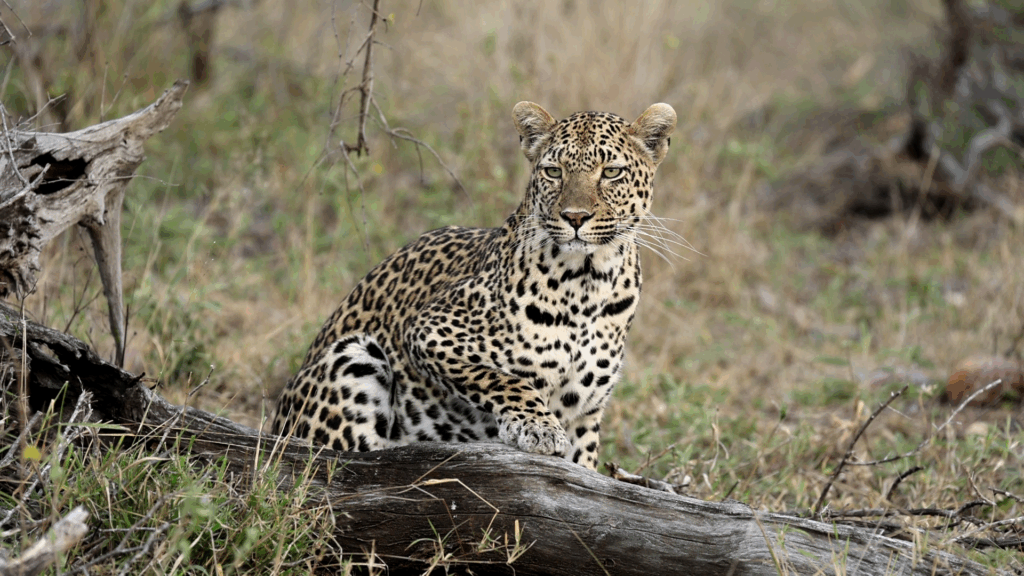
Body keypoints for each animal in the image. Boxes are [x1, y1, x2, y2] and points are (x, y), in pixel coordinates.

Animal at [271, 101, 676, 470]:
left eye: (612, 172)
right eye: (553, 171)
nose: (574, 217)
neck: (588, 283)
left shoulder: (585, 414)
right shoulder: (429, 332)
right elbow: (502, 379)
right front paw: (538, 427)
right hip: (354, 357)